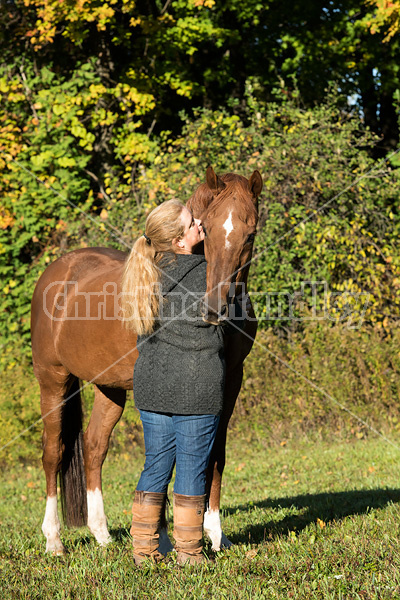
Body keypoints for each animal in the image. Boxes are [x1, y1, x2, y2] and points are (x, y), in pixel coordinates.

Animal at [31, 164, 262, 552]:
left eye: (250, 234)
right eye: (207, 228)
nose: (216, 309)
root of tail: (59, 272)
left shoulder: (230, 380)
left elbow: (215, 454)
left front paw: (215, 535)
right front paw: (168, 538)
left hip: (109, 389)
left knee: (94, 448)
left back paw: (102, 534)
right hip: (53, 380)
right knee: (53, 452)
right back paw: (53, 540)